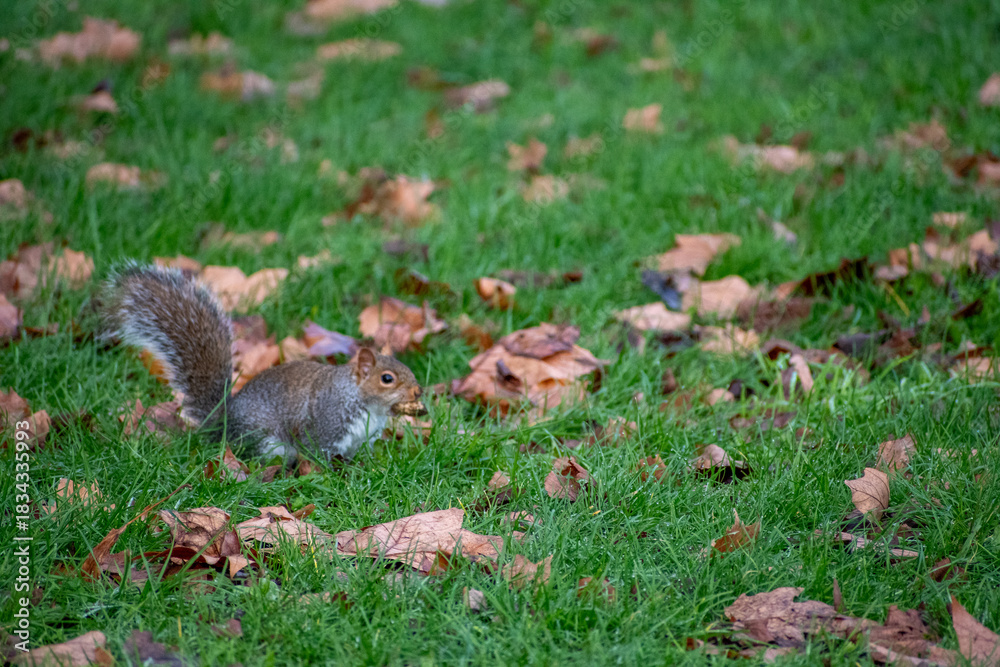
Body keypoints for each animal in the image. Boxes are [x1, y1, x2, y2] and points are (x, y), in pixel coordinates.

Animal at [102, 262, 426, 464]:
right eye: (387, 378)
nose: (418, 392)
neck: (364, 402)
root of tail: (224, 426)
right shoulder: (325, 426)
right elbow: (318, 453)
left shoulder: (363, 439)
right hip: (265, 440)